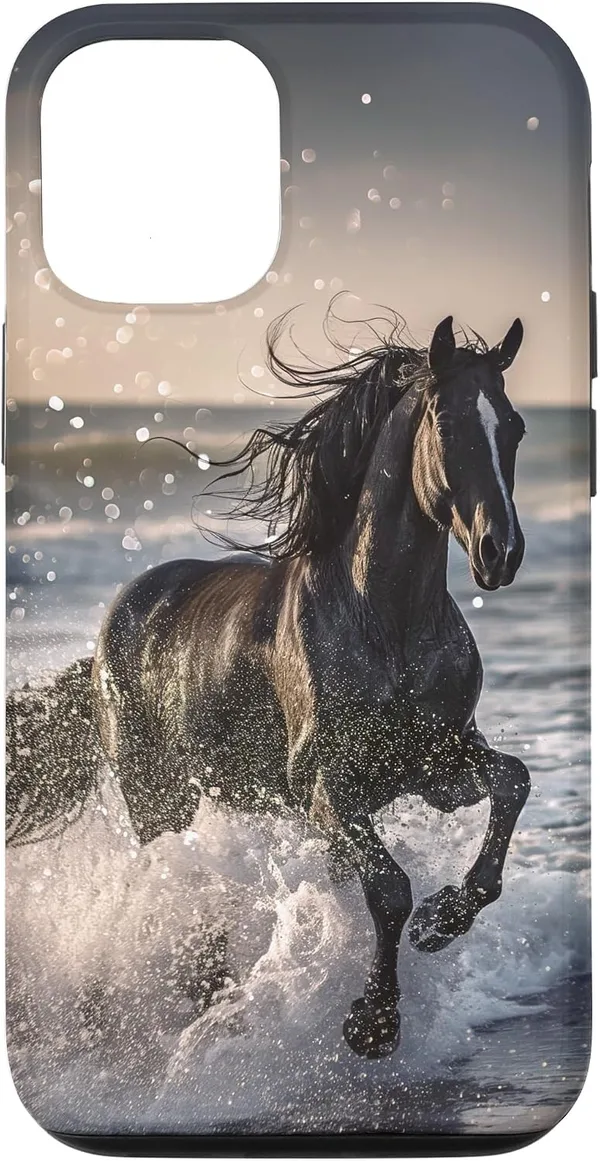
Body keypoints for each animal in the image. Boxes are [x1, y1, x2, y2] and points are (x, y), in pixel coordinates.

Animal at [6, 311, 531, 1059]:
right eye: (449, 423)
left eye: (514, 426)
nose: (501, 553)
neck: (386, 620)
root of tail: (108, 634)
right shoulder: (325, 786)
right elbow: (388, 887)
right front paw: (373, 1022)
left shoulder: (438, 764)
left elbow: (512, 781)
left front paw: (441, 920)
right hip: (155, 796)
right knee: (177, 884)